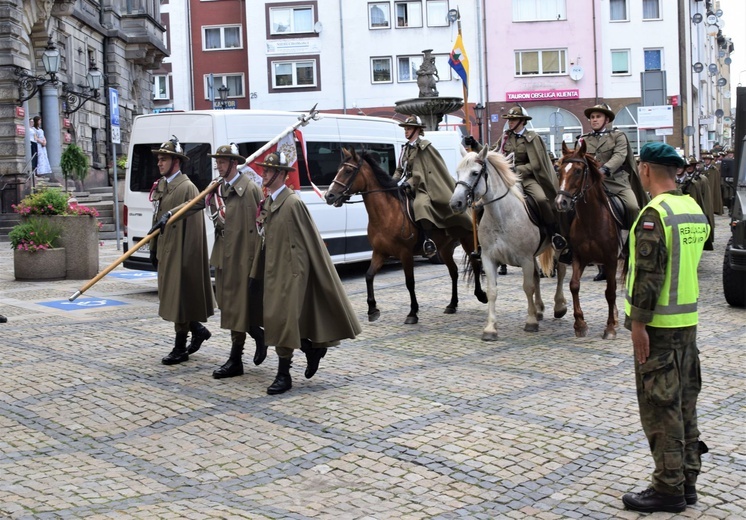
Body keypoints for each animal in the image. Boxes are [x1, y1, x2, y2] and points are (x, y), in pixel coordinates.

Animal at [322, 148, 486, 322]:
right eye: (339, 169)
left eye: (348, 171)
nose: (329, 195)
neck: (386, 214)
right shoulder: (379, 253)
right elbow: (369, 276)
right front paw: (372, 309)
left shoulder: (405, 253)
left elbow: (409, 282)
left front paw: (413, 312)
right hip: (445, 248)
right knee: (454, 271)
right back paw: (452, 304)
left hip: (467, 240)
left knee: (475, 264)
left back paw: (481, 295)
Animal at [448, 147, 564, 342]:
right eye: (458, 172)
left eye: (475, 173)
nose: (455, 203)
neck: (502, 216)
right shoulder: (489, 259)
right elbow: (492, 291)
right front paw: (490, 329)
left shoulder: (525, 259)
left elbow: (527, 287)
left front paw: (530, 321)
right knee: (537, 278)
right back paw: (539, 309)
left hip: (558, 248)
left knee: (561, 273)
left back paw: (559, 307)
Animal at [556, 140, 620, 340]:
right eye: (559, 171)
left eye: (578, 171)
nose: (561, 202)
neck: (592, 219)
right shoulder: (579, 257)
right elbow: (574, 285)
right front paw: (580, 324)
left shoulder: (611, 259)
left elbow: (610, 292)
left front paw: (610, 327)